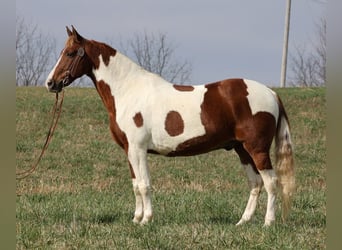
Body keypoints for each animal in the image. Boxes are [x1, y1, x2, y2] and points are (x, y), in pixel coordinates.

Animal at [46, 26, 296, 226]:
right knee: (256, 183)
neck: (127, 90)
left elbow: (145, 184)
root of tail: (271, 93)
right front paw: (136, 219)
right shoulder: (129, 151)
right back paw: (242, 222)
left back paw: (268, 223)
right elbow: (136, 184)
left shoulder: (138, 149)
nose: (50, 83)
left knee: (271, 182)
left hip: (256, 149)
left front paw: (146, 220)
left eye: (70, 53)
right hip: (241, 149)